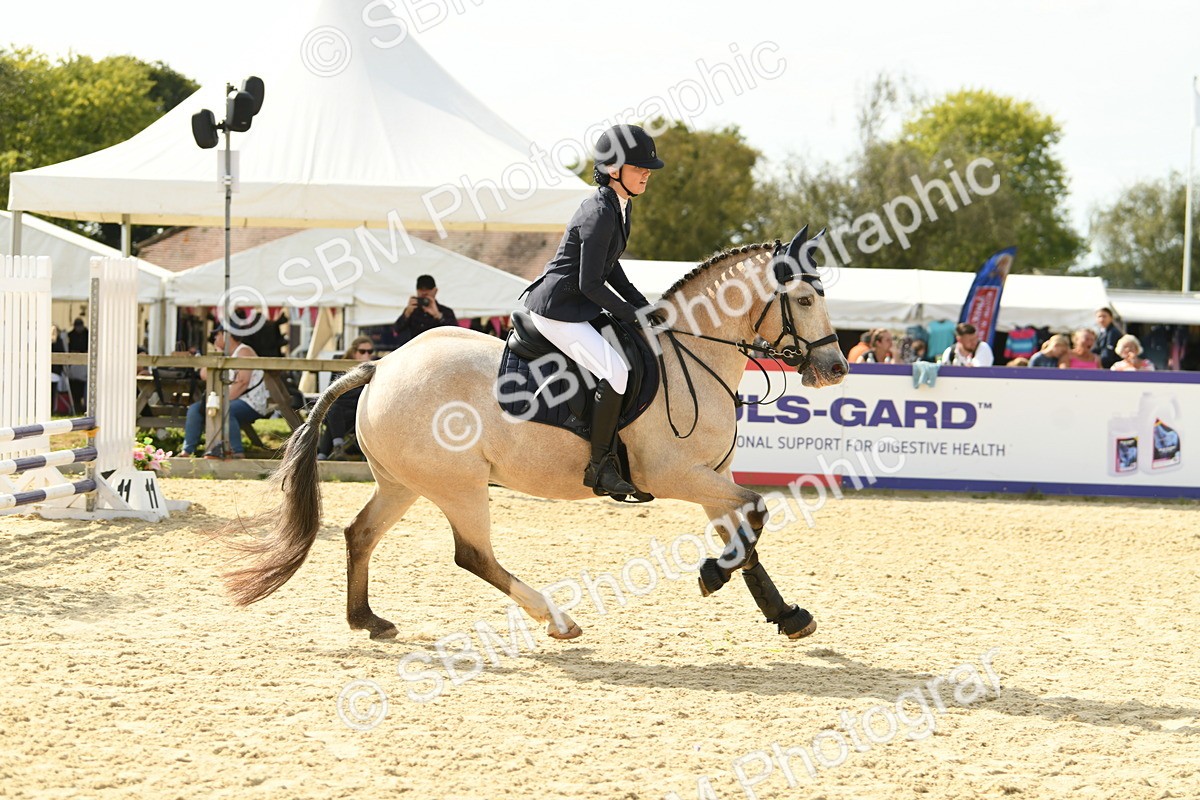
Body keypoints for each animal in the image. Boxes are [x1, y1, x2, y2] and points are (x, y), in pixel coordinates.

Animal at [222, 228, 849, 641]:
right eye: (805, 298)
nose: (836, 368)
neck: (692, 355)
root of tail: (382, 366)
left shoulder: (711, 475)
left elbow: (745, 533)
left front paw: (787, 615)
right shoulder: (675, 475)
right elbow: (756, 513)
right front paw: (712, 575)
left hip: (405, 483)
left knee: (360, 534)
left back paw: (367, 620)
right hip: (459, 486)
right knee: (472, 555)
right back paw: (558, 619)